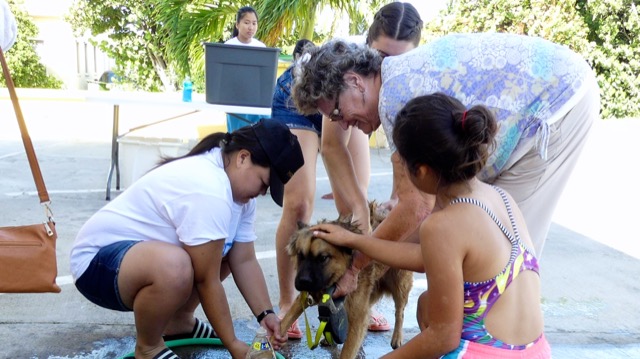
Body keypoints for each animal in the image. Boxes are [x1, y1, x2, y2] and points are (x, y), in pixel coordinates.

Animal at [280, 204, 416, 358]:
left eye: (323, 258)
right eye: (300, 255)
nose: (303, 282)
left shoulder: (357, 317)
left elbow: (348, 350)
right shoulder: (306, 298)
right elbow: (285, 321)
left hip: (400, 286)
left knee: (400, 312)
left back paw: (397, 337)